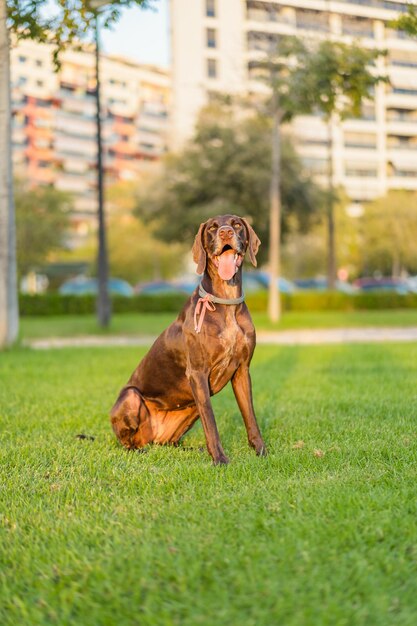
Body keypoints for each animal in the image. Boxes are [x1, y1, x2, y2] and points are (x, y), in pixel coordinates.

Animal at [109, 214, 266, 464]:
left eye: (237, 224)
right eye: (212, 228)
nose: (225, 232)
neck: (225, 302)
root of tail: (150, 438)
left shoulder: (242, 370)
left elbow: (250, 416)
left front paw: (261, 452)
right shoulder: (198, 373)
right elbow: (211, 422)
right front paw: (220, 460)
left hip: (191, 406)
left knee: (169, 443)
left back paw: (194, 450)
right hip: (132, 396)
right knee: (127, 443)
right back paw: (138, 450)